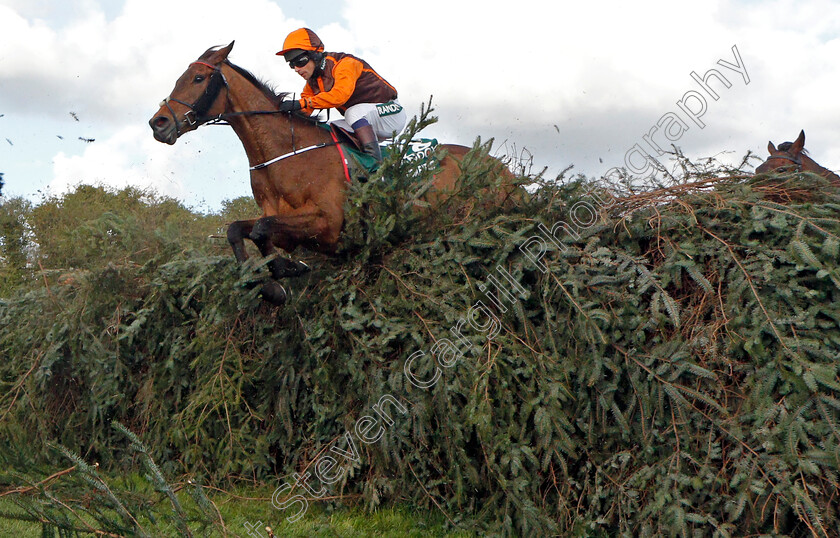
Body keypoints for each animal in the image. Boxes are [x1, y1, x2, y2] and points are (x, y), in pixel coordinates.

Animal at [148, 42, 502, 304]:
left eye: (197, 78)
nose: (158, 123)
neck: (283, 154)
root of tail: (495, 164)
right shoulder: (276, 214)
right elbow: (239, 229)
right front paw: (273, 281)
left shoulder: (328, 224)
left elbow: (262, 230)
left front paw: (285, 268)